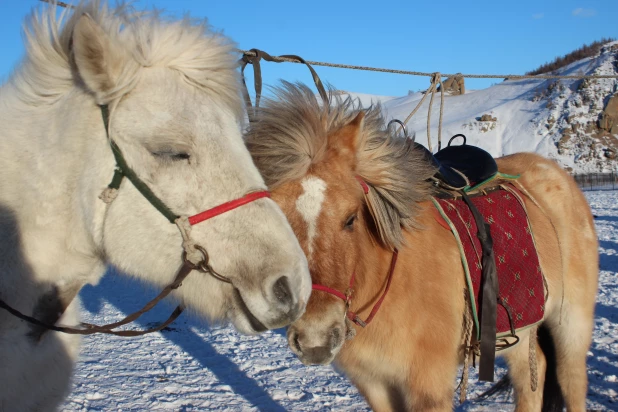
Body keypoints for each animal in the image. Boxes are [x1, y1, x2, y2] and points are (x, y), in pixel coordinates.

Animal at [245, 82, 596, 410]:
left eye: (351, 218)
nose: (315, 340)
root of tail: (552, 170)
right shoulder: (374, 384)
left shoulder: (428, 383)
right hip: (520, 328)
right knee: (531, 381)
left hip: (571, 323)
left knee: (571, 379)